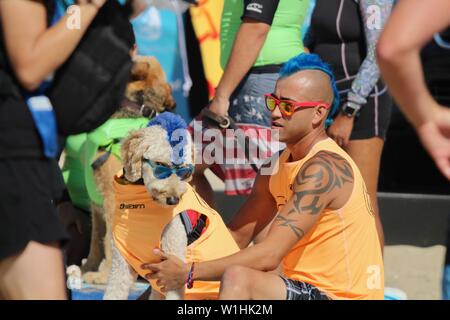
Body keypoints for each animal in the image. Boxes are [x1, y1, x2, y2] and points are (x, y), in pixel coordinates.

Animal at [104, 111, 241, 298]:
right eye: (161, 166)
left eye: (185, 170)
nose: (174, 200)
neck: (143, 204)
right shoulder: (121, 264)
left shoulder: (173, 267)